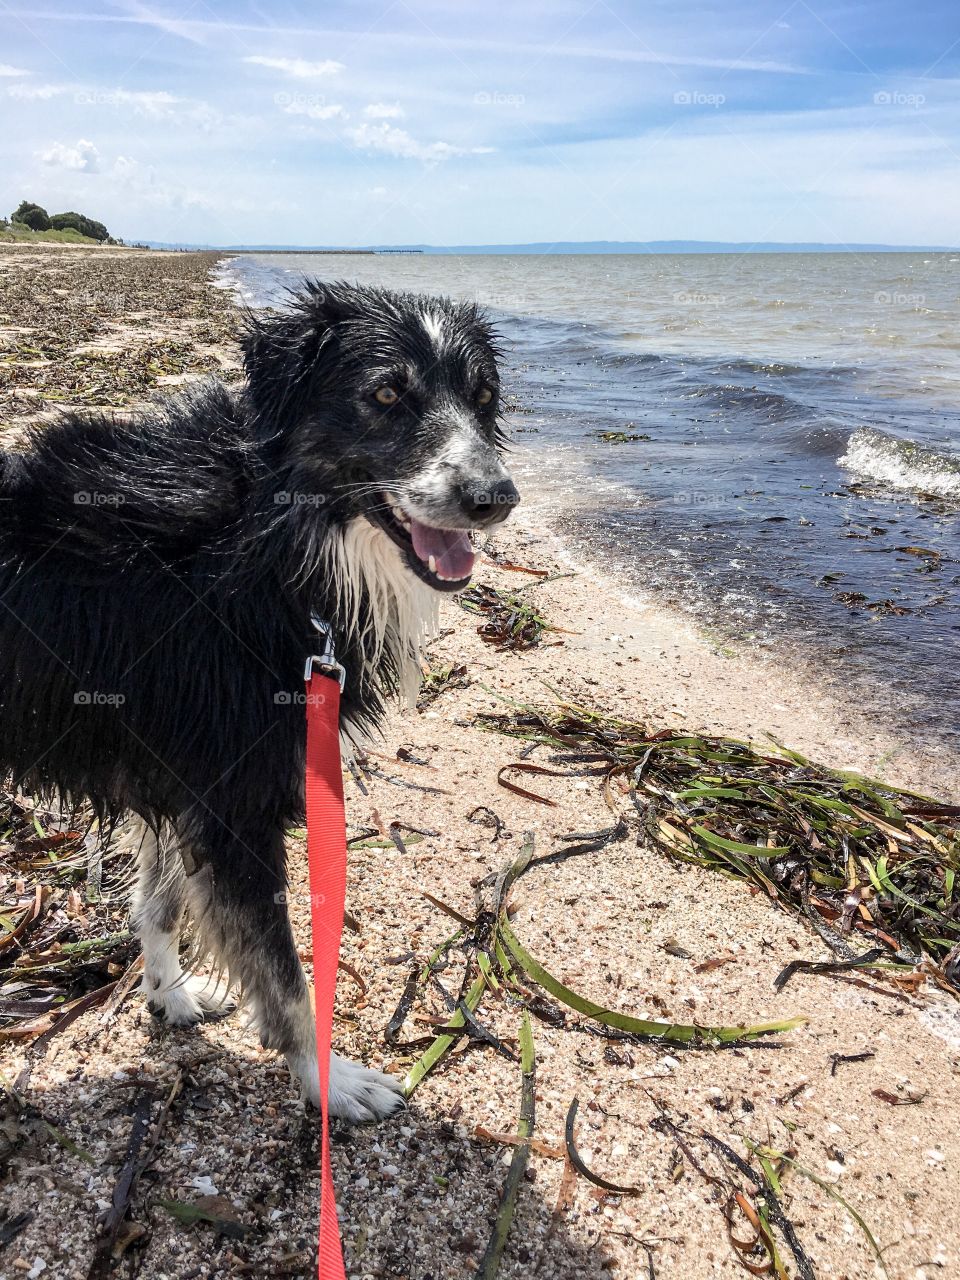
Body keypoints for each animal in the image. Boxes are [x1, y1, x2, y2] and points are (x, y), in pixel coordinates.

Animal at [0, 280, 519, 1121]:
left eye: (482, 396)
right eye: (385, 394)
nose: (495, 497)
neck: (271, 537)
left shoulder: (178, 778)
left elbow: (161, 902)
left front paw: (169, 995)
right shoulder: (231, 798)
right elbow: (283, 973)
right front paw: (328, 1080)